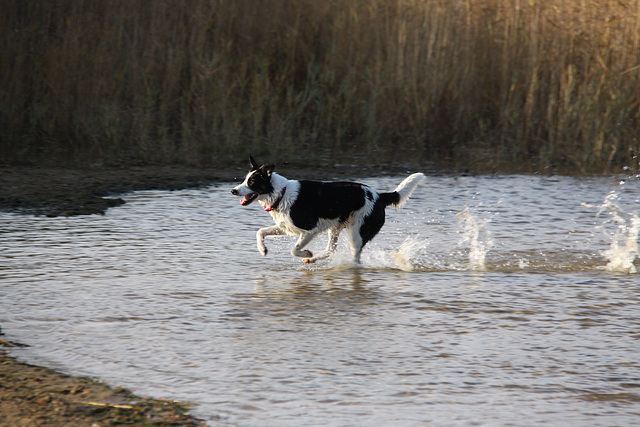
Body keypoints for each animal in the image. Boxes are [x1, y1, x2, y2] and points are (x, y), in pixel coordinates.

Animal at [231, 156, 424, 264]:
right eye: (244, 180)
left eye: (252, 182)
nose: (233, 190)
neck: (281, 194)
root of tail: (380, 196)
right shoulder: (287, 227)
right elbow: (260, 231)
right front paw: (262, 249)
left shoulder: (310, 229)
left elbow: (293, 249)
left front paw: (306, 251)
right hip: (336, 227)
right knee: (332, 249)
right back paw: (312, 259)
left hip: (357, 233)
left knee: (355, 259)